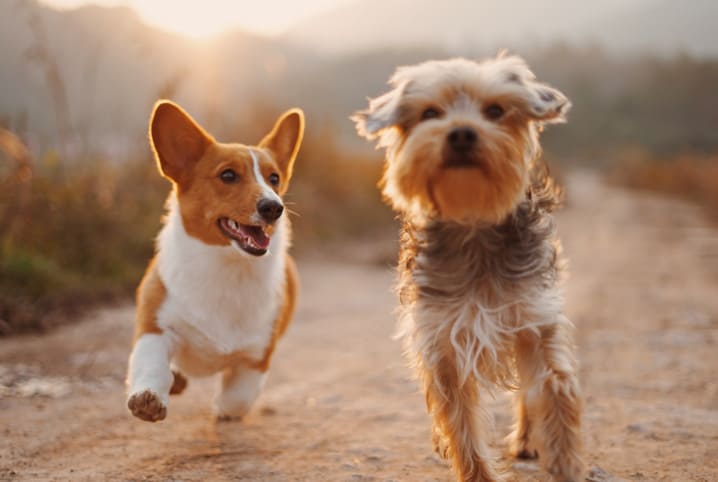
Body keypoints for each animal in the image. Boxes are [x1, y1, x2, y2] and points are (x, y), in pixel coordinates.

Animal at [126, 100, 304, 422]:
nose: (274, 207)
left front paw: (223, 409)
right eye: (228, 175)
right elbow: (151, 363)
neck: (227, 267)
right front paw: (148, 398)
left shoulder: (256, 357)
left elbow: (237, 398)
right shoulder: (155, 326)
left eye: (274, 178)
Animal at [354, 54, 584, 480]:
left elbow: (554, 388)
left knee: (527, 391)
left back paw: (527, 439)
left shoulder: (534, 319)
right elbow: (460, 422)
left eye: (495, 111)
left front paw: (565, 462)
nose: (461, 133)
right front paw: (474, 468)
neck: (473, 222)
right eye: (430, 113)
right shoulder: (442, 340)